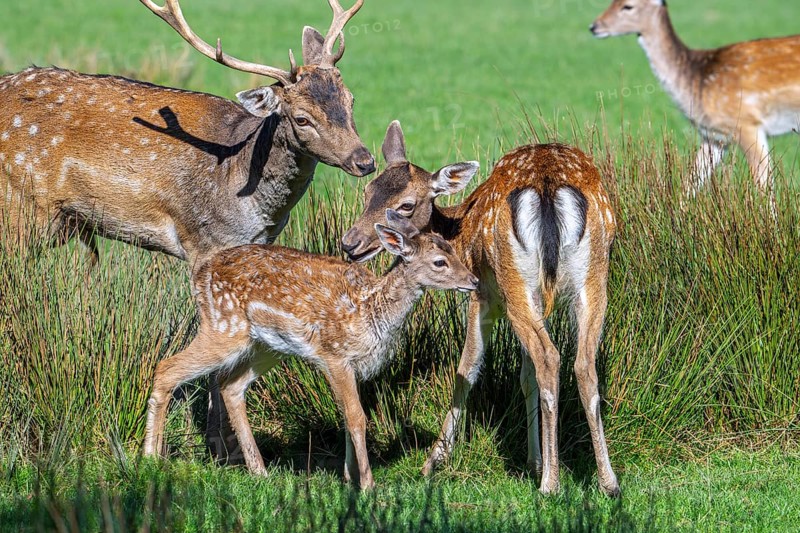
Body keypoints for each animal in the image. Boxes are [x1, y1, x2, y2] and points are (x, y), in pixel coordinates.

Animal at [143, 210, 479, 489]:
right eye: (440, 262)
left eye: (453, 250)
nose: (474, 280)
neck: (369, 311)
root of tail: (200, 275)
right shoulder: (335, 354)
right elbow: (357, 417)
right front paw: (368, 485)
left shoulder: (350, 365)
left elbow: (347, 416)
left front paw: (349, 477)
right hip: (224, 327)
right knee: (166, 368)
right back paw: (151, 457)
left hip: (266, 346)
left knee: (230, 385)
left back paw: (259, 471)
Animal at [341, 121, 620, 496]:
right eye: (369, 190)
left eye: (406, 205)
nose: (350, 243)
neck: (459, 230)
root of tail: (547, 187)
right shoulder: (535, 301)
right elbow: (526, 378)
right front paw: (533, 461)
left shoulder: (480, 295)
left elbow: (467, 369)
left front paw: (432, 461)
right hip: (593, 277)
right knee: (582, 364)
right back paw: (607, 482)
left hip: (514, 279)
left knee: (550, 358)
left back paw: (550, 485)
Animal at [591, 0, 800, 194]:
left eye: (628, 6)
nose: (594, 26)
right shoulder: (714, 135)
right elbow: (690, 182)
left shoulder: (747, 123)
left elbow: (764, 185)